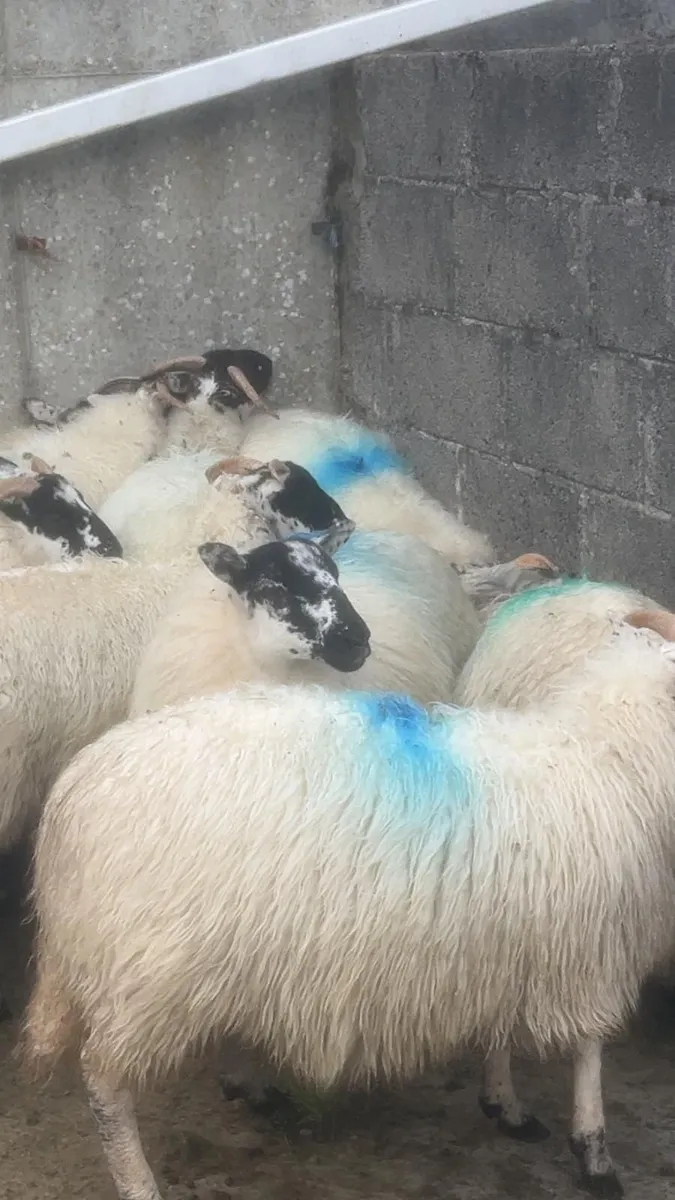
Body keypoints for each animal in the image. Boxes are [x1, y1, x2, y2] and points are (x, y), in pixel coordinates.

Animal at [24, 606, 675, 1200]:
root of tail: (74, 795)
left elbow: (500, 1034)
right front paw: (594, 1153)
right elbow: (588, 1054)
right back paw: (138, 1181)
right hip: (147, 975)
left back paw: (251, 1086)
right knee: (105, 1087)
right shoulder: (591, 951)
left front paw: (503, 1103)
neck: (610, 755)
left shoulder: (512, 944)